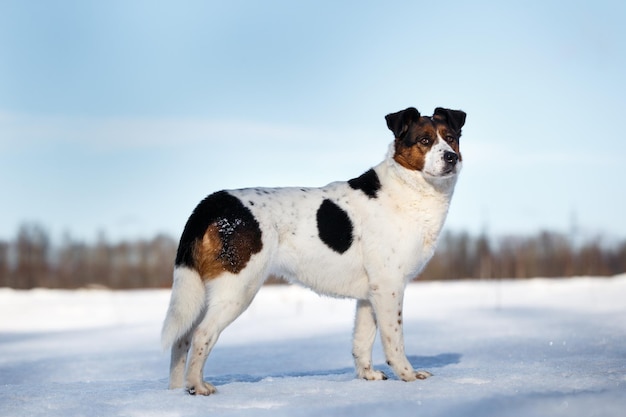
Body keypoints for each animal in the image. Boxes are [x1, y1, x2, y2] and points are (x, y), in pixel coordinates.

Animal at [160, 105, 464, 394]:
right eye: (424, 140)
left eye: (451, 138)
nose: (451, 158)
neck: (407, 187)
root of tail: (213, 203)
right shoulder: (389, 286)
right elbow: (394, 339)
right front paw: (408, 376)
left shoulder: (370, 294)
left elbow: (362, 340)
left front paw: (368, 376)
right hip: (236, 290)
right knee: (201, 335)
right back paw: (197, 387)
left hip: (200, 291)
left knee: (181, 340)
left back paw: (176, 391)